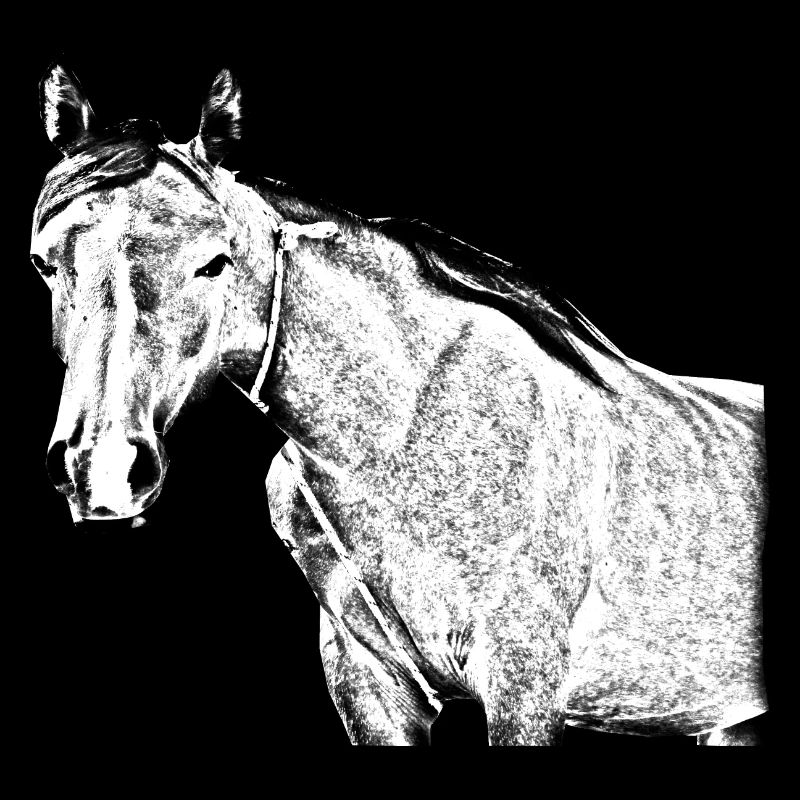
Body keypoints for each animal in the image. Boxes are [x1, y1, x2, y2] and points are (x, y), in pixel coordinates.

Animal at [30, 63, 768, 746]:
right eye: (45, 263)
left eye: (216, 262)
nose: (102, 469)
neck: (404, 440)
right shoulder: (369, 681)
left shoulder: (525, 682)